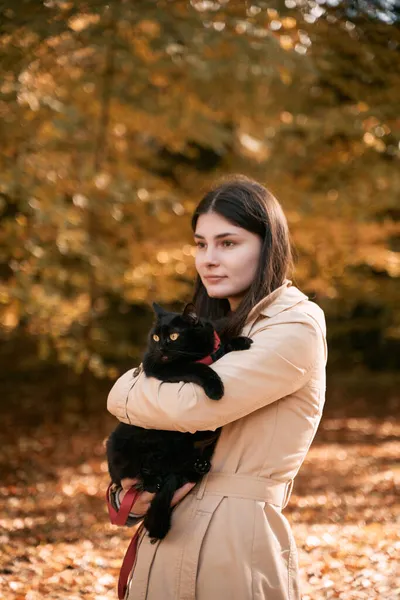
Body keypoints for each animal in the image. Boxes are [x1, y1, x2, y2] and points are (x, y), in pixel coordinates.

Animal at [104, 302, 252, 540]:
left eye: (173, 336)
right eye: (155, 337)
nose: (161, 349)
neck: (198, 353)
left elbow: (220, 350)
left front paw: (239, 342)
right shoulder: (160, 366)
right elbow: (198, 368)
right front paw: (216, 388)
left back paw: (197, 465)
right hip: (118, 446)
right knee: (135, 474)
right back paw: (152, 481)